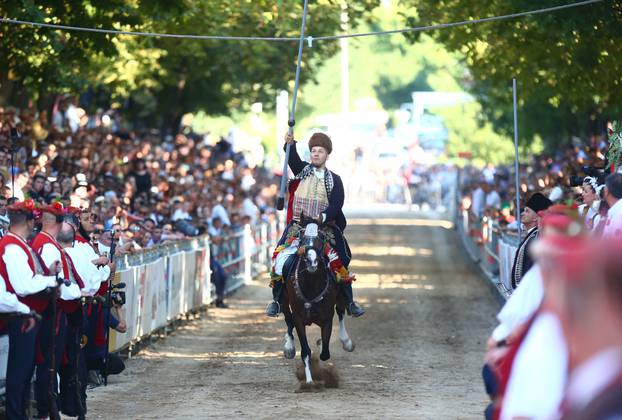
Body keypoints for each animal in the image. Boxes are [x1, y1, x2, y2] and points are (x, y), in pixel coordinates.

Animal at [282, 215, 356, 382]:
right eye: (302, 237)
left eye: (321, 238)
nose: (312, 261)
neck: (311, 284)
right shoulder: (299, 319)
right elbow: (305, 352)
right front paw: (309, 381)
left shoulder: (327, 319)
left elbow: (325, 353)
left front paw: (321, 343)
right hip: (284, 301)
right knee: (287, 318)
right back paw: (289, 347)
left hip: (340, 293)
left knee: (341, 312)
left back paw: (346, 341)